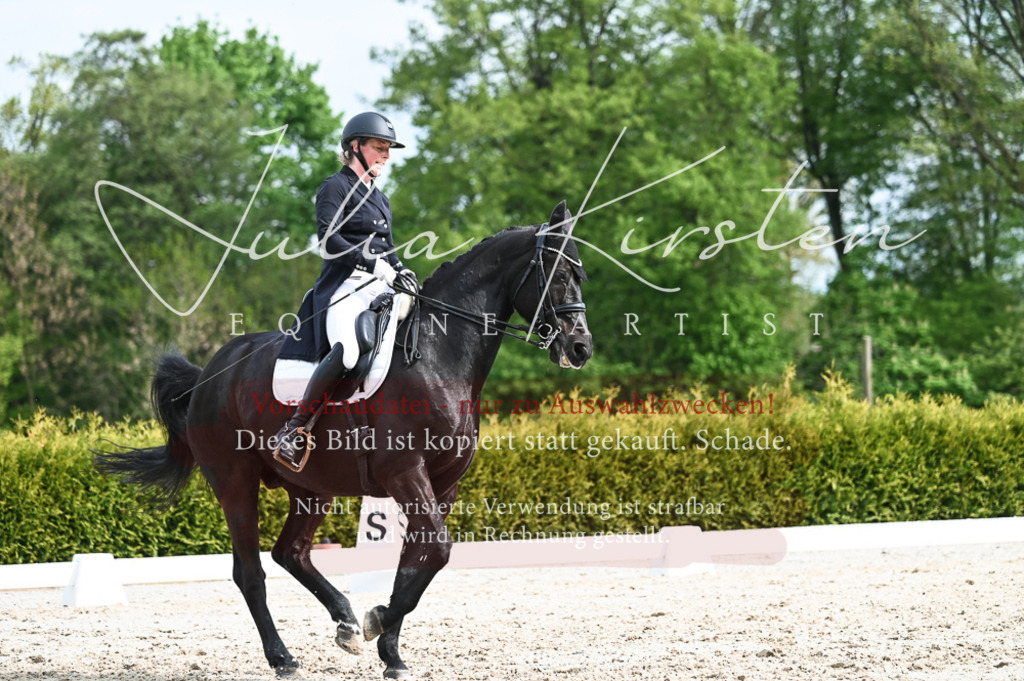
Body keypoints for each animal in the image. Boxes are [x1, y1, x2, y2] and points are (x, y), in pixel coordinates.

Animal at [96, 201, 593, 679]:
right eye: (560, 275)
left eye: (580, 273)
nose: (581, 348)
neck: (439, 357)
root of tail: (208, 374)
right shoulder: (405, 473)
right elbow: (435, 550)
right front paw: (378, 622)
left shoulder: (443, 485)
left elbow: (419, 560)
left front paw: (389, 651)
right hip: (235, 482)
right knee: (250, 572)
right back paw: (284, 658)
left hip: (312, 489)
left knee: (291, 553)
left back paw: (346, 622)